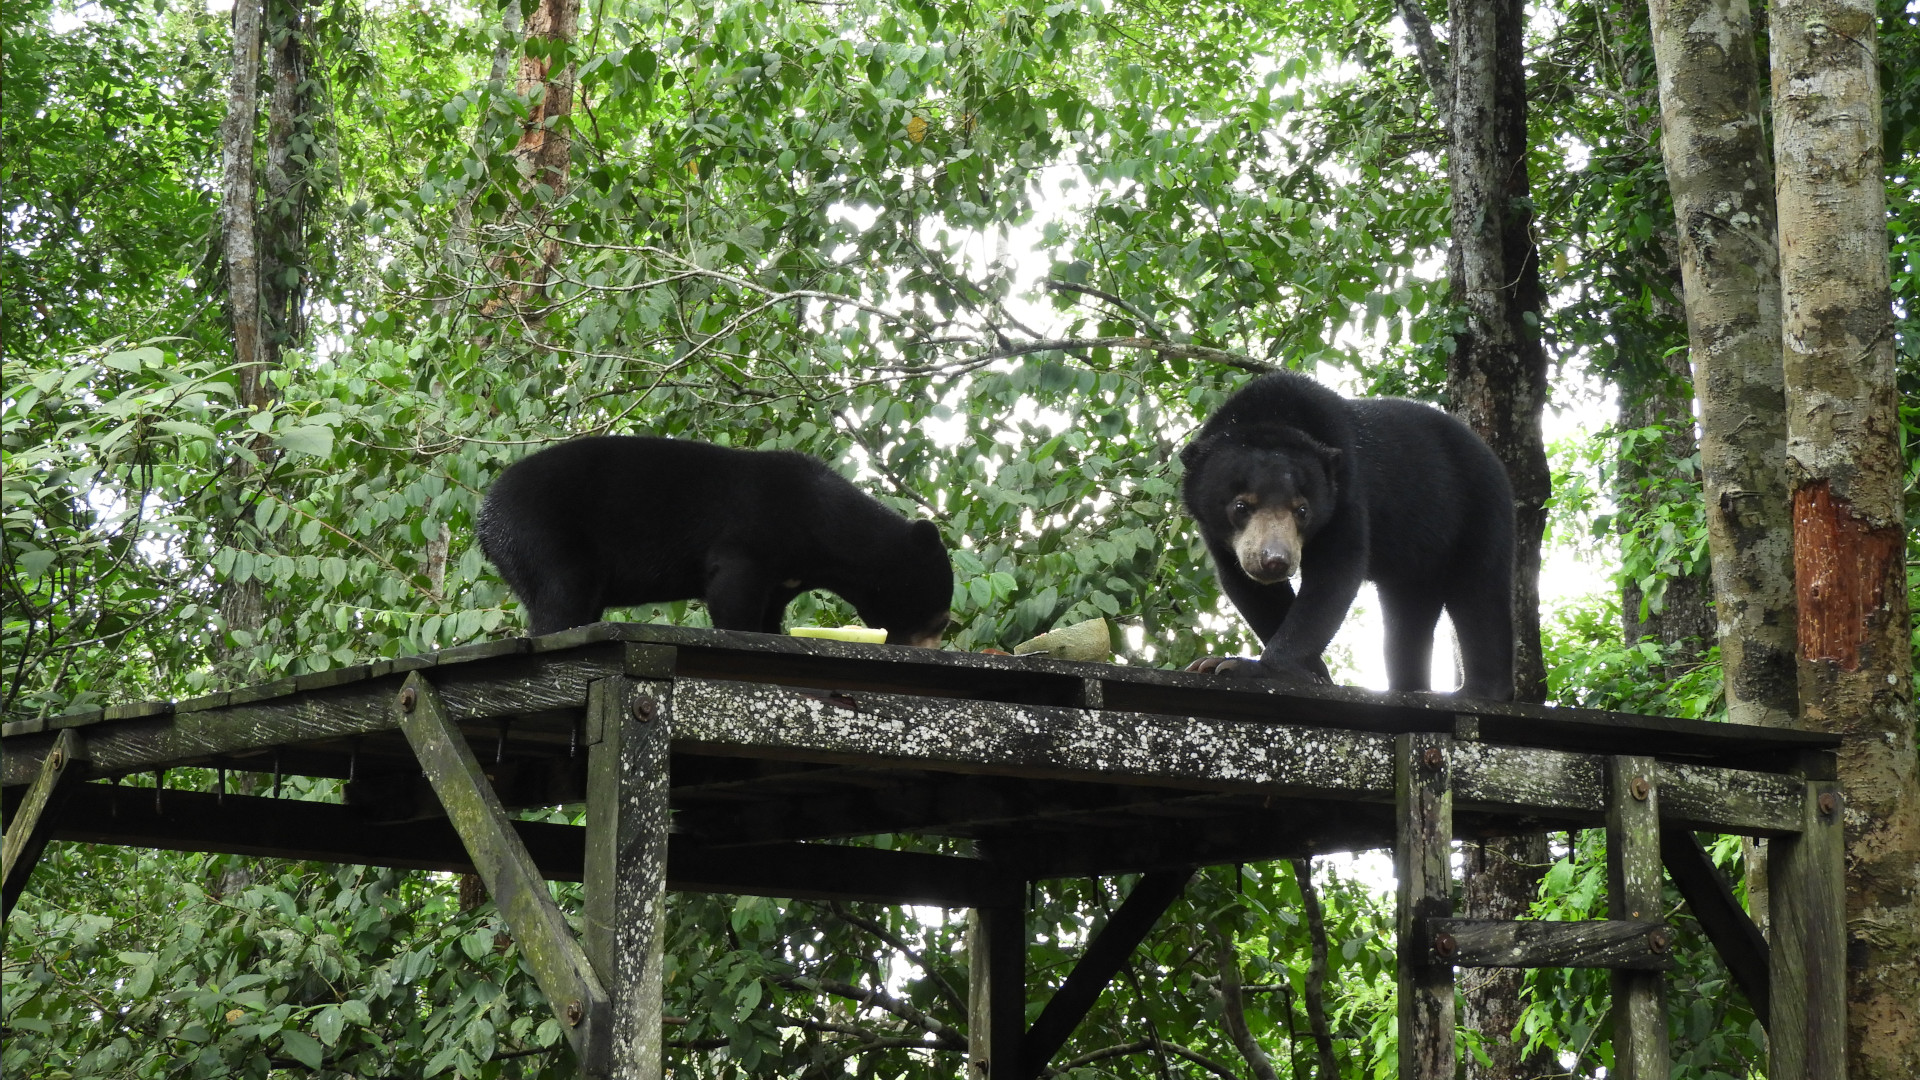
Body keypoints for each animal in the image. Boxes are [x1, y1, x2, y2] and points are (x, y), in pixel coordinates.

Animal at [478, 432, 952, 641]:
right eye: (939, 620)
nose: (932, 641)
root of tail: (485, 515)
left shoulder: (787, 572)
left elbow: (769, 610)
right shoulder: (755, 533)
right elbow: (731, 590)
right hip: (543, 533)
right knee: (562, 597)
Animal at [1175, 372, 1520, 699]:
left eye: (1302, 510)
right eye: (1241, 505)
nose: (1274, 561)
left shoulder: (1346, 493)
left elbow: (1334, 574)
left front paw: (1246, 668)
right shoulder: (1216, 532)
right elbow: (1250, 588)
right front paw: (1313, 673)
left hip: (1479, 509)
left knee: (1479, 591)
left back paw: (1478, 690)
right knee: (1408, 614)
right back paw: (1410, 686)